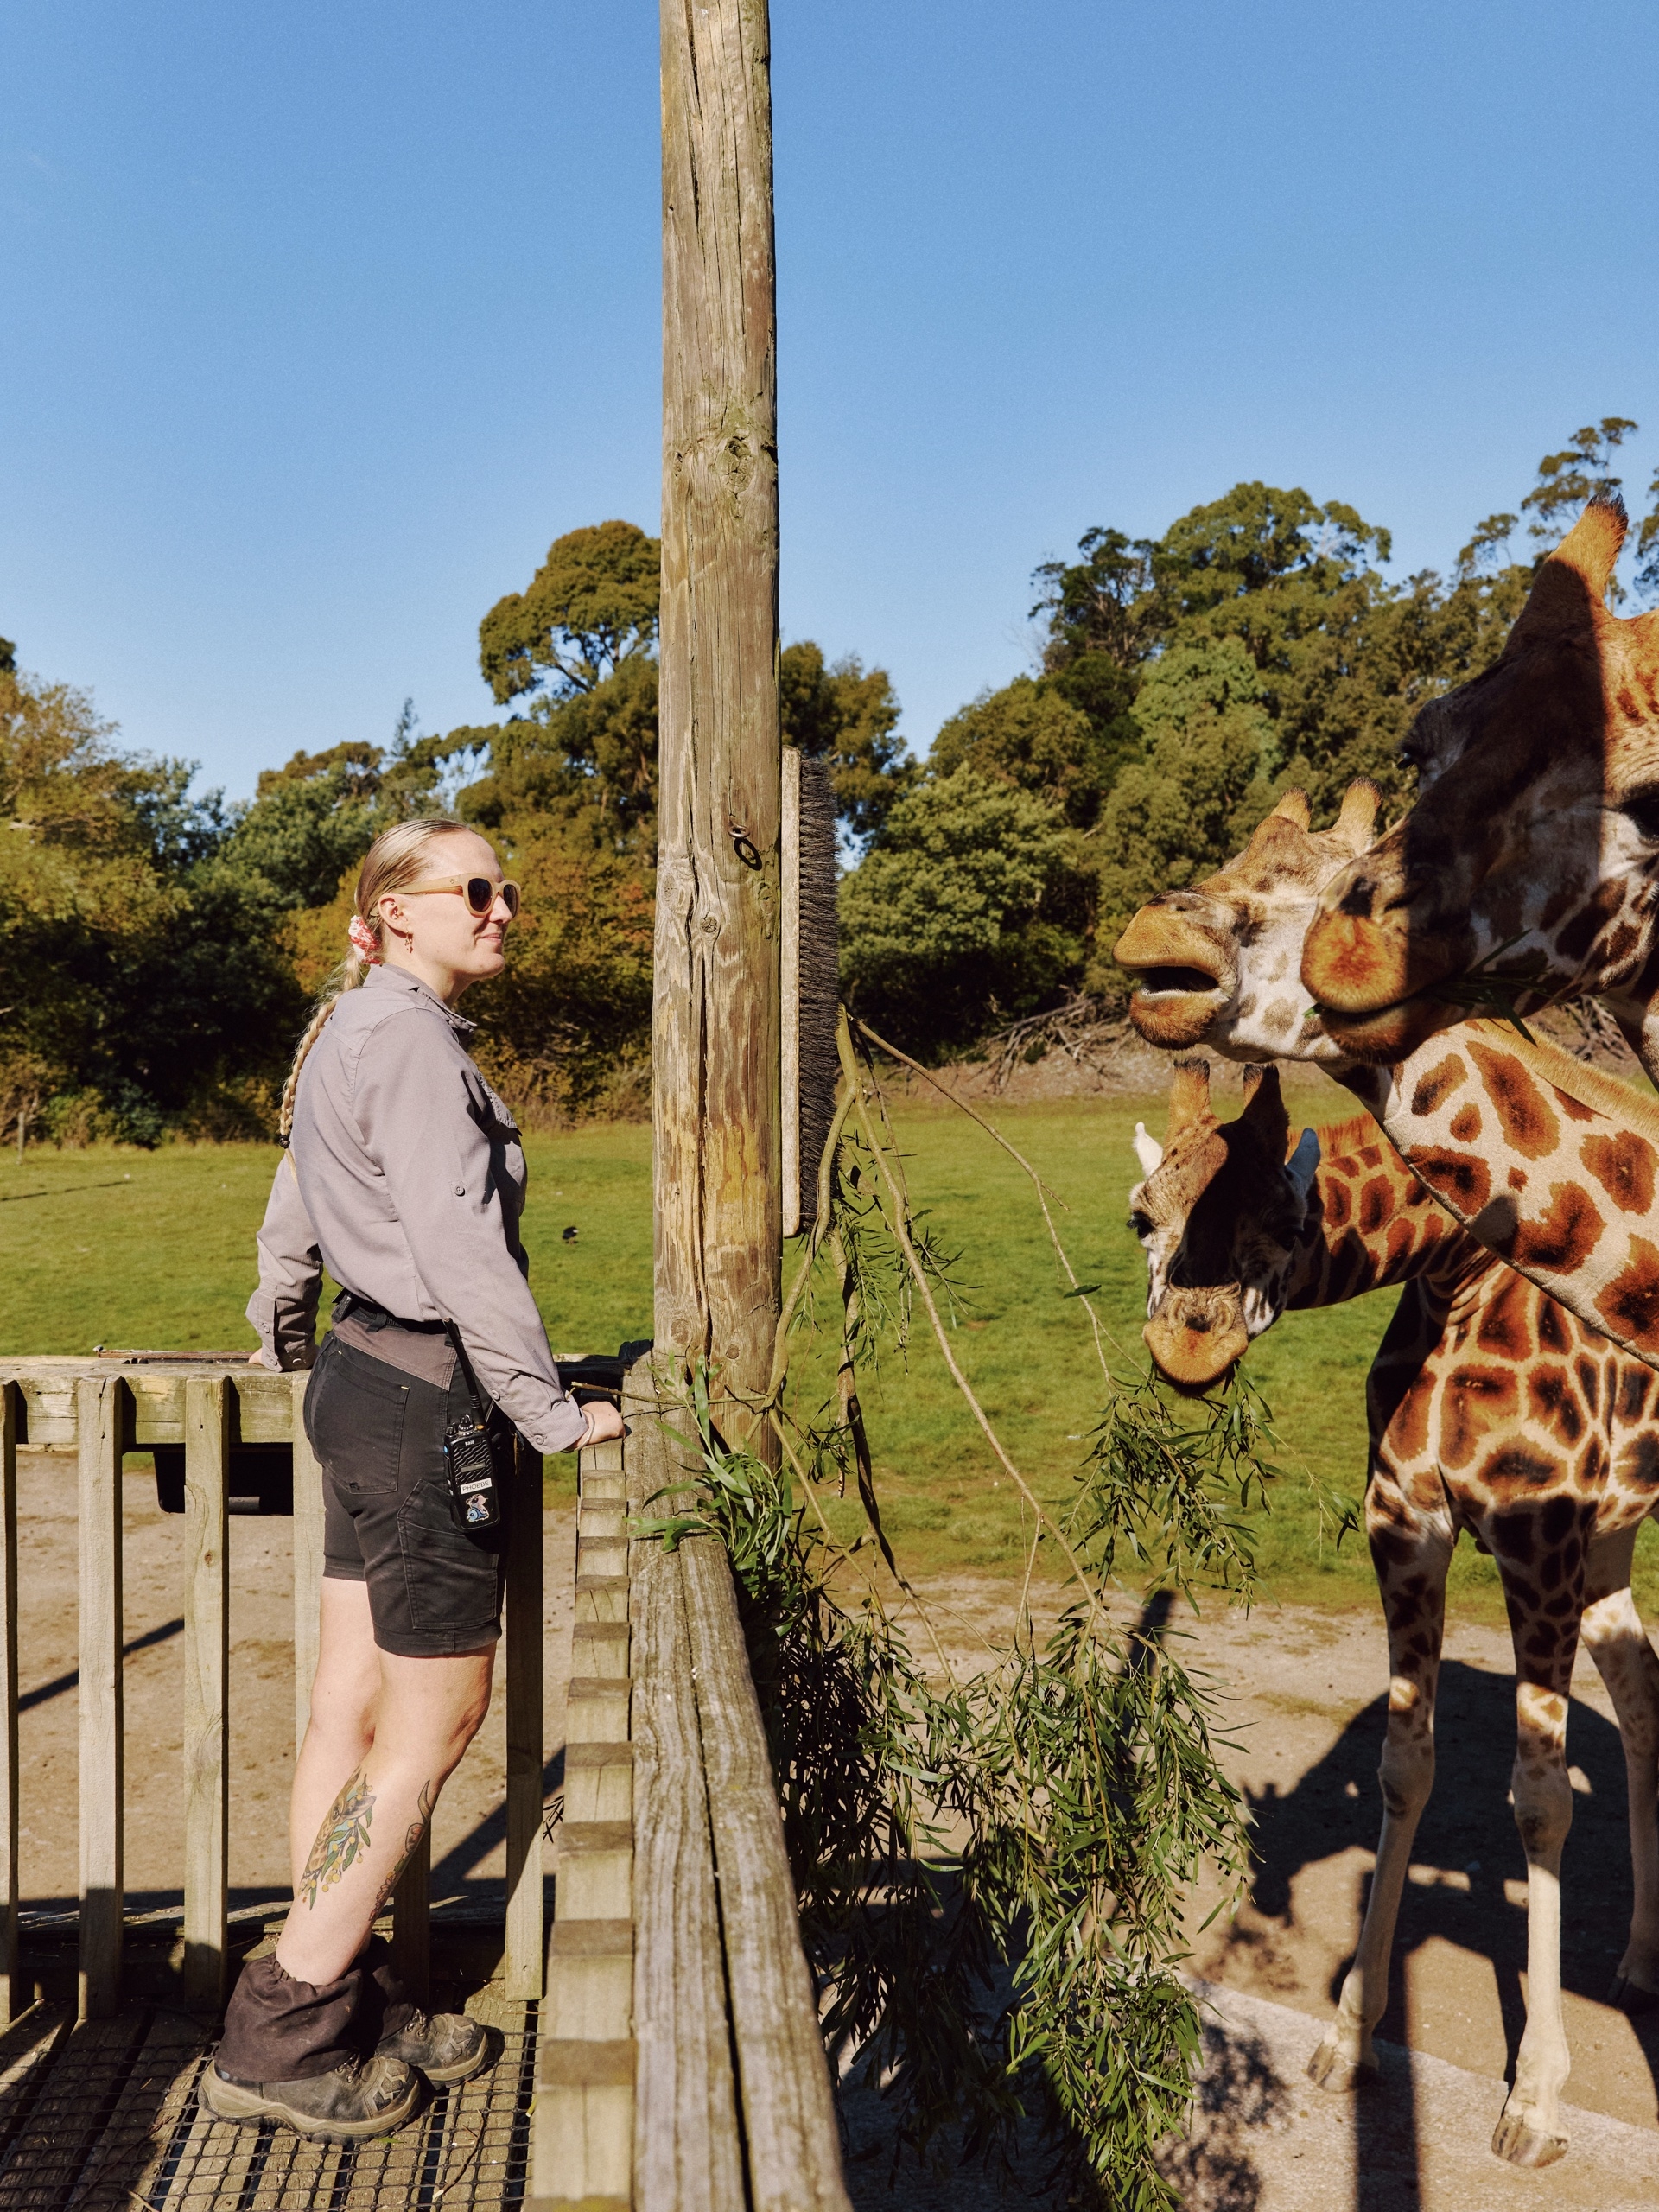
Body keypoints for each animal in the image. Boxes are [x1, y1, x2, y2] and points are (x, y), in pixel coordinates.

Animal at [1127, 1057, 1659, 2169]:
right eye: (1141, 1216)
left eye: (1284, 1220)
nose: (1187, 1349)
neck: (1461, 1274)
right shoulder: (1408, 1526)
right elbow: (1404, 1768)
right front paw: (1348, 2039)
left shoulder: (1537, 1539)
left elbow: (1541, 1803)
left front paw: (1534, 2103)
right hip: (1615, 1534)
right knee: (1641, 1694)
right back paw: (1641, 1959)